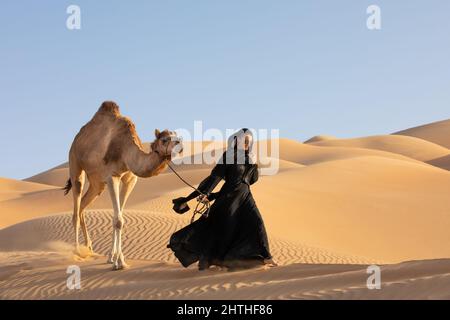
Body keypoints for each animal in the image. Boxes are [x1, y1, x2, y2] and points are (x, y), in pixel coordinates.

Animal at [63, 100, 183, 270]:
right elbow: (118, 220)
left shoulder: (130, 178)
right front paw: (119, 262)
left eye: (178, 137)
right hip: (75, 163)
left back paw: (89, 247)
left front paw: (113, 258)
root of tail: (76, 139)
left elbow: (119, 216)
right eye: (165, 140)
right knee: (76, 203)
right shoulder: (112, 176)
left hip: (97, 183)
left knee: (82, 207)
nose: (181, 144)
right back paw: (77, 251)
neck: (125, 149)